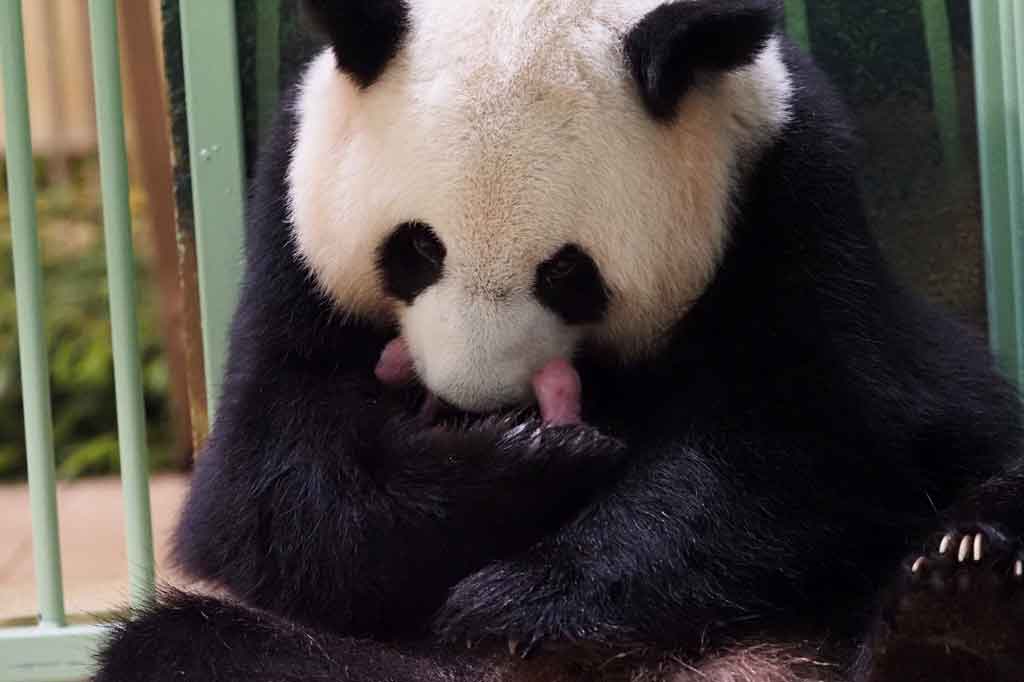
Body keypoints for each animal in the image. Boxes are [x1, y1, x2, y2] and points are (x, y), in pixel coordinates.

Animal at [94, 1, 1024, 681]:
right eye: (415, 249)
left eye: (568, 273)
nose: (472, 399)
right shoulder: (292, 232)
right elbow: (269, 491)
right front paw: (521, 459)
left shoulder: (785, 198)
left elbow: (802, 448)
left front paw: (517, 606)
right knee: (185, 649)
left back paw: (956, 609)